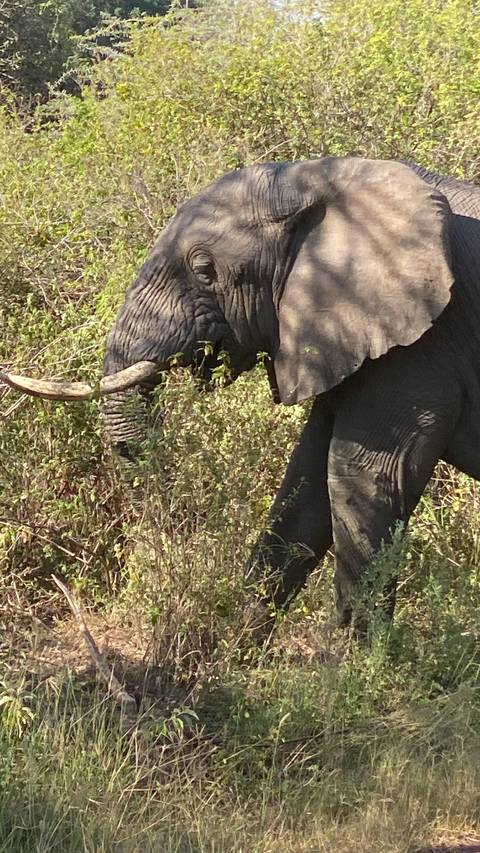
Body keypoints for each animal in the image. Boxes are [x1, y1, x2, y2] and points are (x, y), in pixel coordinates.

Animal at [3, 156, 480, 630]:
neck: (320, 179)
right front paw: (239, 640)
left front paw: (359, 654)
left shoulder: (420, 346)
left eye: (204, 270)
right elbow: (305, 486)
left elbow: (363, 477)